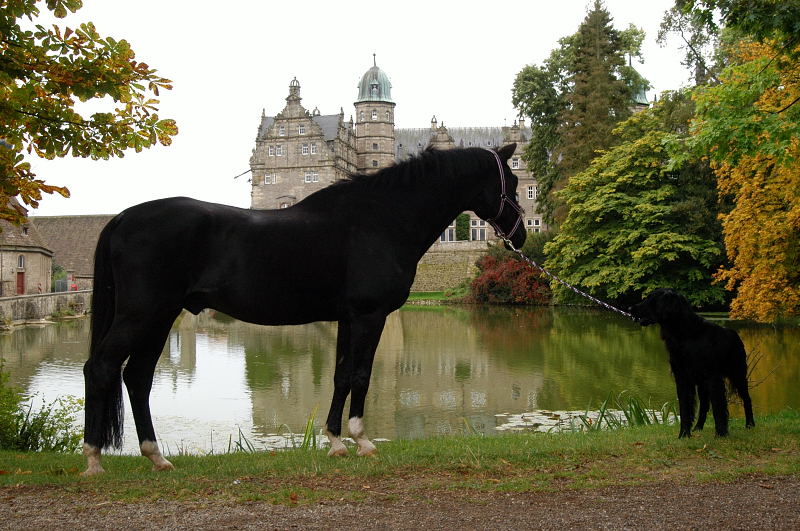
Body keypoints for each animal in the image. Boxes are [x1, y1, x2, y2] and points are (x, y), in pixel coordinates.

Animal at [81, 143, 524, 476]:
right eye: (515, 180)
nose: (520, 234)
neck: (381, 219)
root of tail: (123, 217)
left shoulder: (348, 318)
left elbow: (341, 376)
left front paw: (335, 442)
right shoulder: (370, 316)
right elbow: (362, 376)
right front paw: (362, 440)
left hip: (159, 318)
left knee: (137, 377)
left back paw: (156, 456)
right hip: (142, 315)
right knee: (101, 367)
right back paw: (94, 458)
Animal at [628, 288, 752, 438]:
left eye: (652, 300)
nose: (630, 308)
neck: (686, 335)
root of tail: (735, 335)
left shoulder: (713, 377)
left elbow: (718, 407)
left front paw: (721, 433)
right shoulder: (682, 377)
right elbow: (685, 409)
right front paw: (683, 434)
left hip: (738, 374)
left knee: (747, 399)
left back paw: (750, 425)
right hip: (702, 383)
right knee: (704, 405)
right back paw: (698, 427)